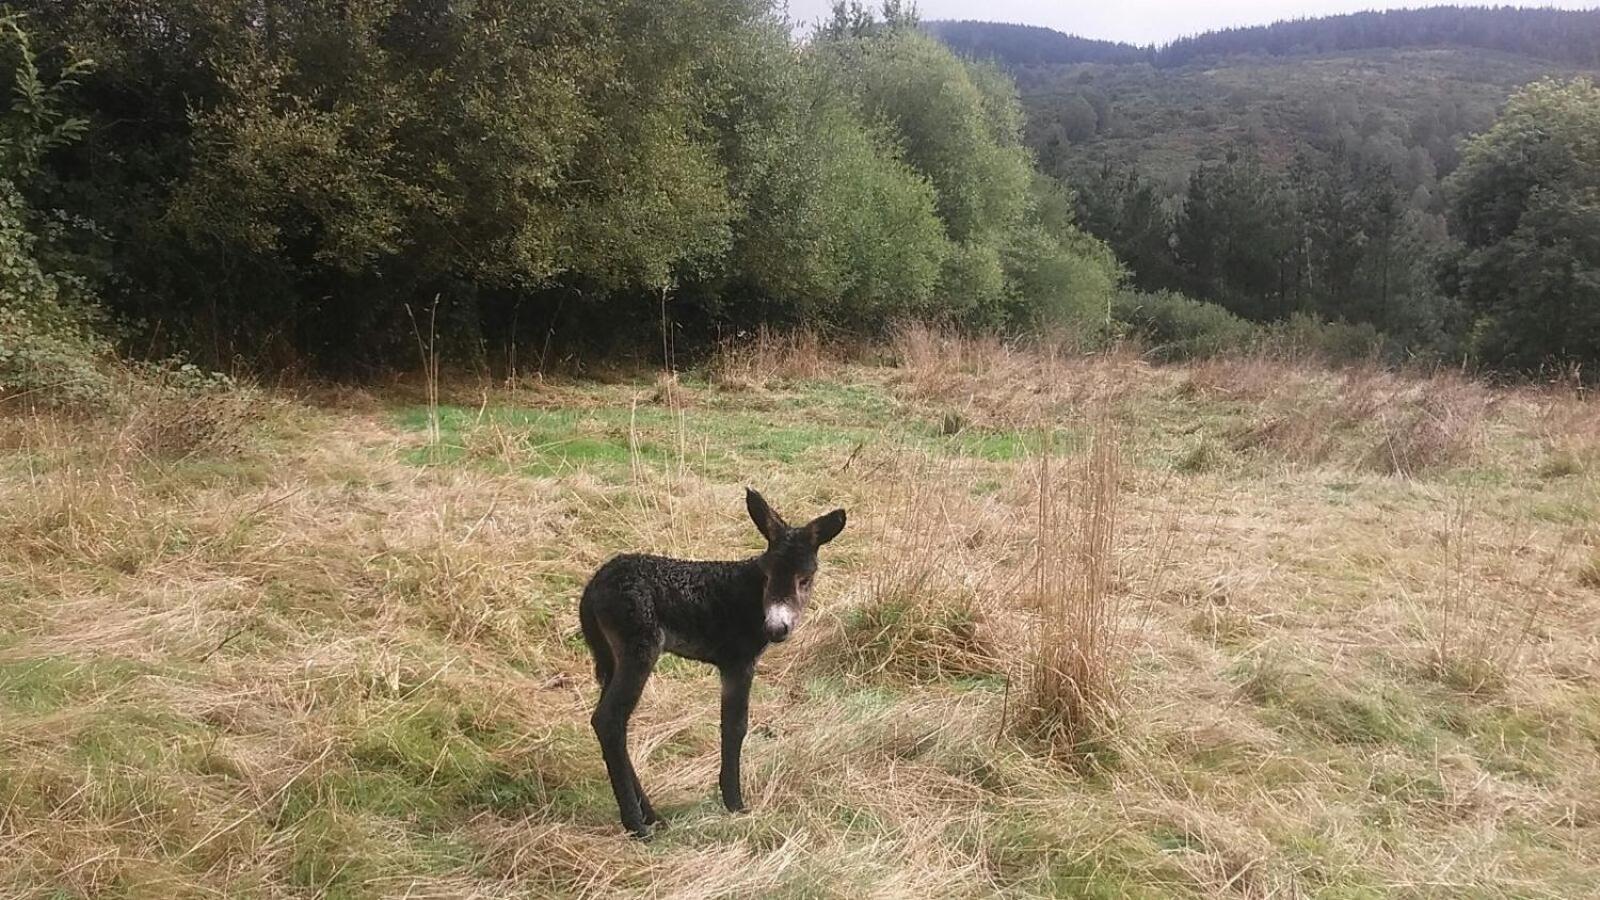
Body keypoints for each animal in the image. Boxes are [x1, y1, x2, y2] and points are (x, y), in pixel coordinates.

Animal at [579, 490, 851, 832]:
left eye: (805, 579)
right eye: (767, 575)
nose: (777, 629)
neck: (751, 597)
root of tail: (591, 591)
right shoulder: (738, 661)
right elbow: (734, 726)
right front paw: (735, 804)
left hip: (610, 656)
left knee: (608, 719)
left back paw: (651, 816)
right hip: (638, 645)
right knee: (610, 719)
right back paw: (637, 826)